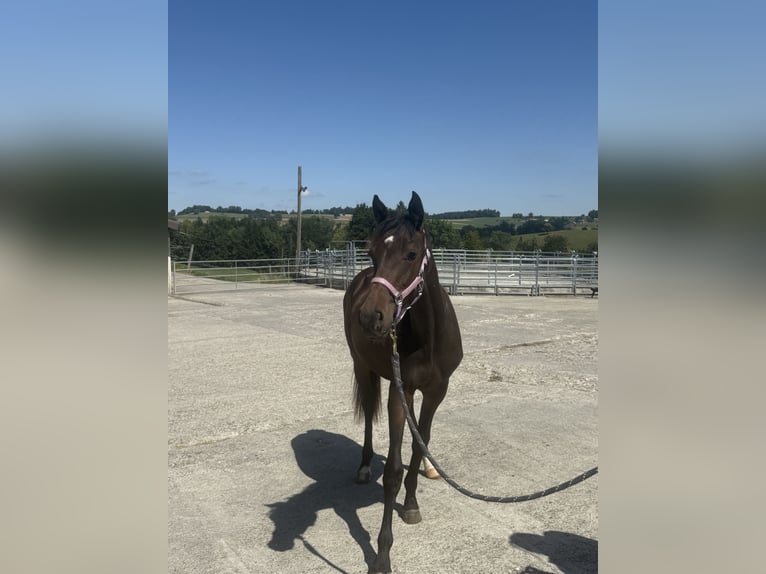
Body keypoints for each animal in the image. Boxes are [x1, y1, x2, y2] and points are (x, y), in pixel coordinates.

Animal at [343, 191, 463, 573]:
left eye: (411, 254)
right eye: (371, 252)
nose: (370, 316)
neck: (428, 337)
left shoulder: (437, 392)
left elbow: (418, 444)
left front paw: (411, 504)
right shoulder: (400, 392)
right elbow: (393, 471)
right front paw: (382, 555)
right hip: (363, 369)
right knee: (368, 414)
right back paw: (364, 467)